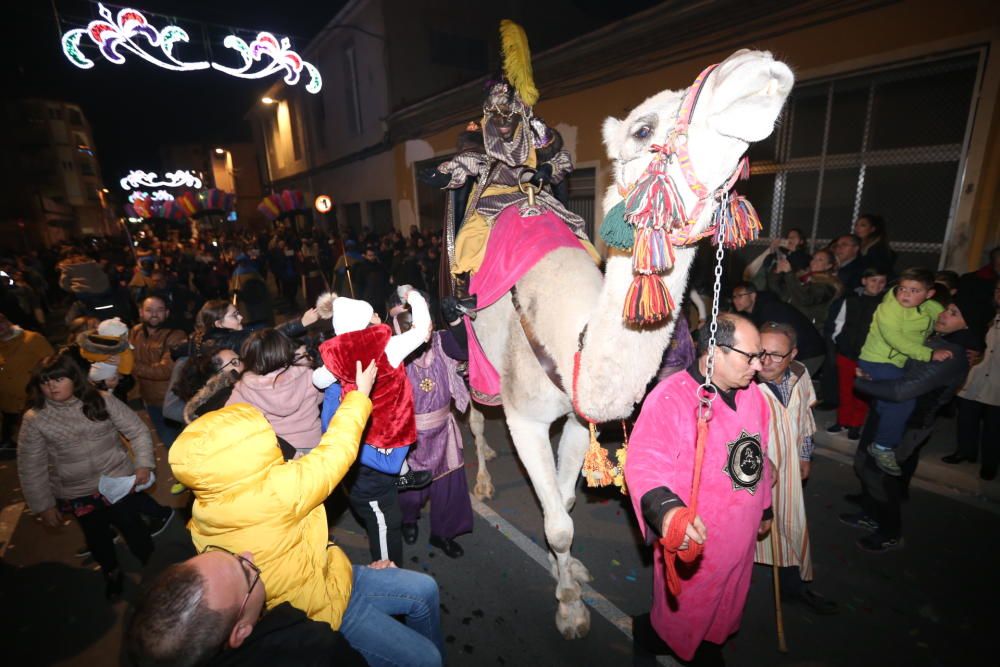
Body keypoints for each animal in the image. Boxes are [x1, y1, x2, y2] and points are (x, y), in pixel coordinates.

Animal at [472, 49, 792, 640]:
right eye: (642, 129)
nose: (756, 66)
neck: (574, 339)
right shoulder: (525, 414)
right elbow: (555, 522)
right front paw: (571, 609)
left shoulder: (579, 417)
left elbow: (565, 503)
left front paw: (568, 570)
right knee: (476, 415)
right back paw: (481, 482)